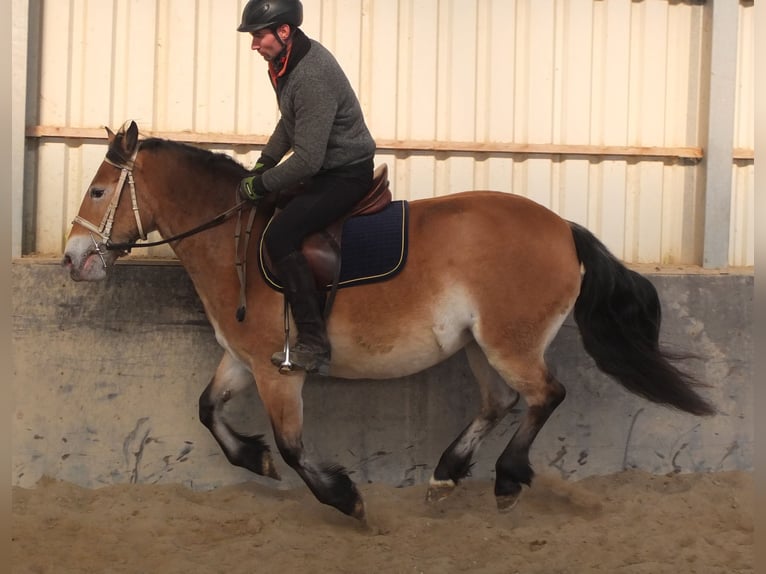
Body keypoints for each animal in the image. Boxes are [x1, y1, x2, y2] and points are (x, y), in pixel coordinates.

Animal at [63, 121, 716, 520]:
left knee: (544, 395)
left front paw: (344, 498)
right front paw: (254, 460)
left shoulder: (279, 373)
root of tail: (564, 229)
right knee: (500, 402)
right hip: (477, 343)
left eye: (97, 191)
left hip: (509, 342)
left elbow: (294, 447)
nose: (73, 259)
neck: (234, 241)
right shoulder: (243, 361)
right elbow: (207, 411)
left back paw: (505, 478)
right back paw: (447, 475)